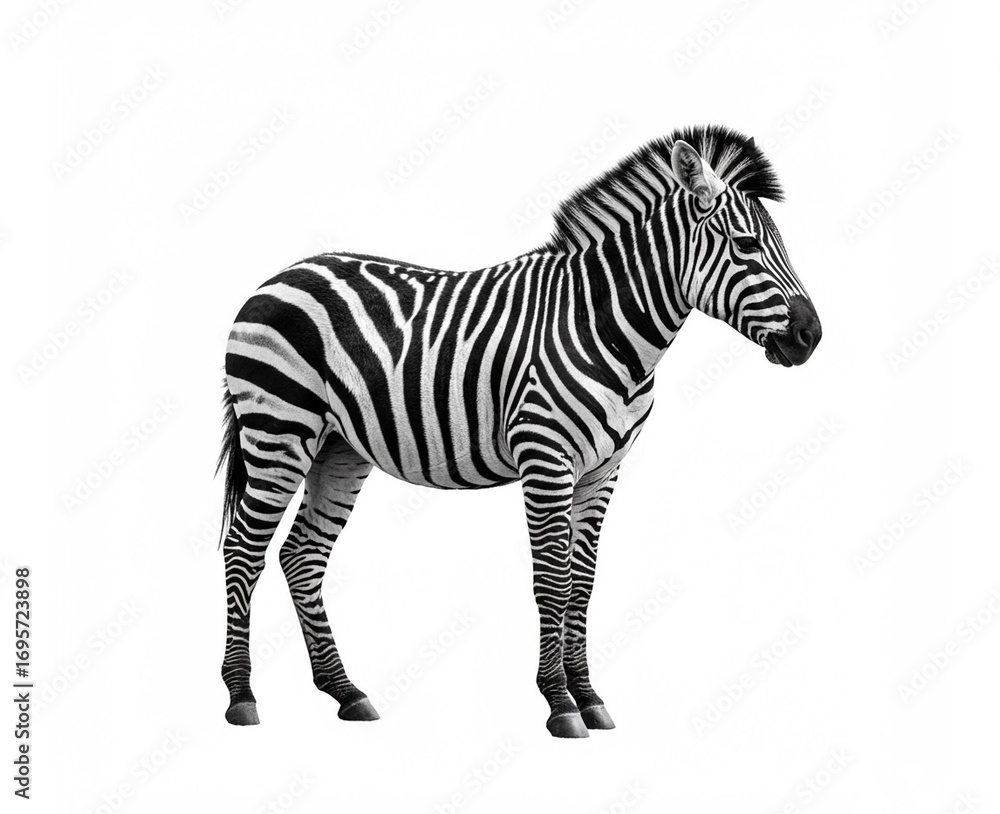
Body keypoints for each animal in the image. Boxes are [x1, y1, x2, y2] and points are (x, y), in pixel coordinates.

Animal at [216, 124, 822, 738]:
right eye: (745, 245)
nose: (811, 336)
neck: (603, 325)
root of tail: (280, 275)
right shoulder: (546, 456)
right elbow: (553, 580)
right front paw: (559, 702)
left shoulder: (603, 470)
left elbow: (584, 582)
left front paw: (588, 696)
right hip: (279, 431)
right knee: (243, 550)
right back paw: (242, 696)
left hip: (338, 447)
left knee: (302, 555)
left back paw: (346, 692)